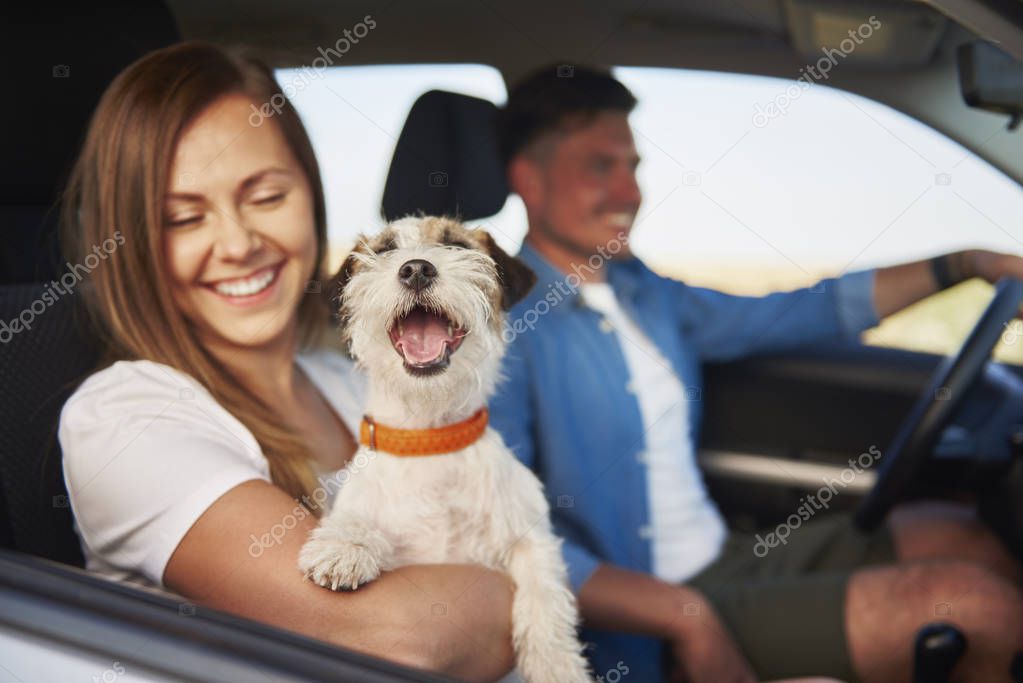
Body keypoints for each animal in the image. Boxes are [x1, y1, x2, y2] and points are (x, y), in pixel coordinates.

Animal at [298, 214, 593, 683]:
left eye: (456, 245)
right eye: (385, 250)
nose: (416, 269)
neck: (429, 439)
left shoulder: (530, 538)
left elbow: (543, 595)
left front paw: (557, 666)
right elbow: (358, 517)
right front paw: (346, 546)